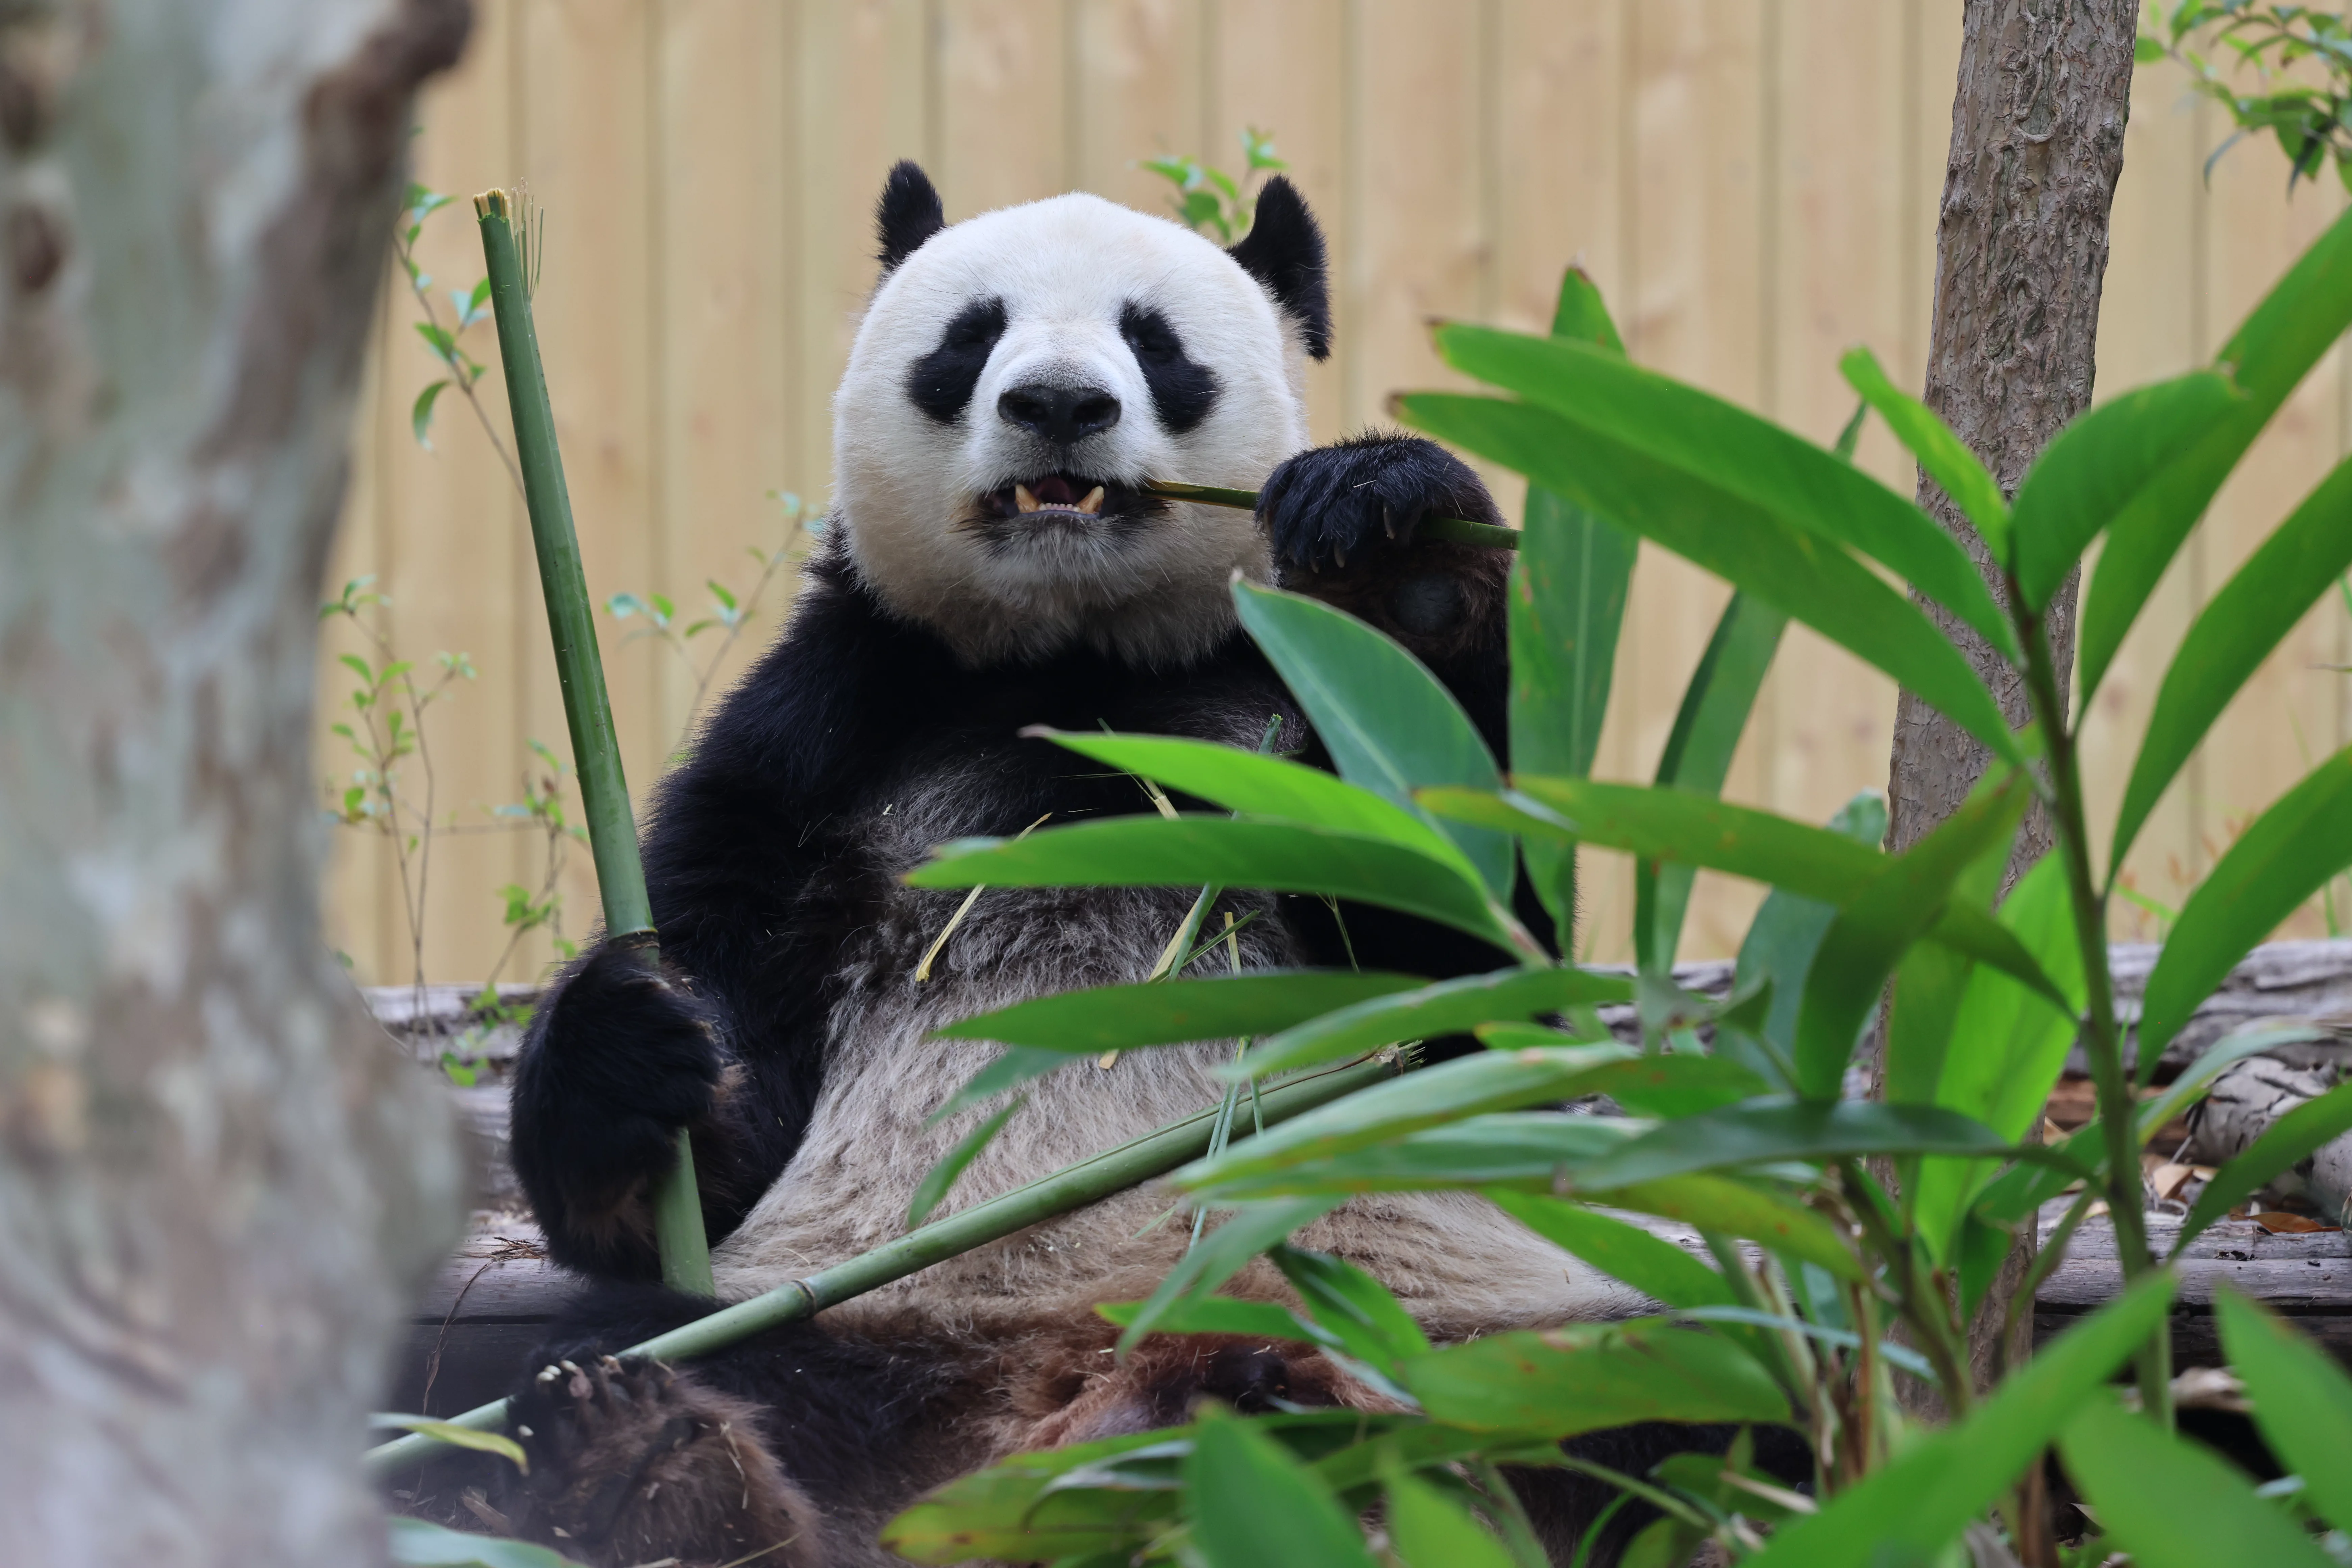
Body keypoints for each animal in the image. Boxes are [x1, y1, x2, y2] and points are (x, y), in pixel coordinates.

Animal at [497, 163, 1712, 1568]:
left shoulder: (1272, 702)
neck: (1075, 661)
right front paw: (630, 1049)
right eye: (970, 336)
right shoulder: (826, 729)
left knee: (1699, 1391)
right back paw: (653, 1463)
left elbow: (1470, 977)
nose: (1060, 405)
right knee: (589, 1359)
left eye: (1156, 342)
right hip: (845, 1313)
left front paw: (1397, 554)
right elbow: (714, 1096)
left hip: (1487, 1326)